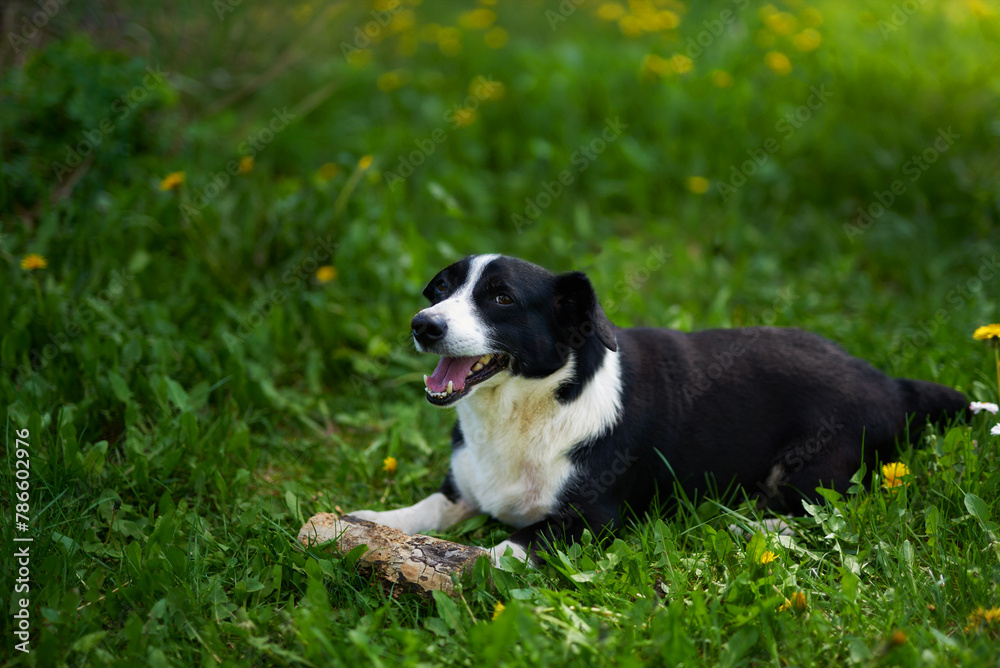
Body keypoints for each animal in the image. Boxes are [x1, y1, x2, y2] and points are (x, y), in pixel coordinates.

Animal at [350, 253, 960, 560]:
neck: (529, 408)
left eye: (501, 298)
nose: (423, 325)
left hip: (812, 468)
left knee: (820, 513)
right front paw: (361, 524)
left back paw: (757, 526)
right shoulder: (462, 492)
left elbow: (509, 546)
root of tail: (889, 384)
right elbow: (422, 510)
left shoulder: (591, 519)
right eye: (440, 289)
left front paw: (467, 564)